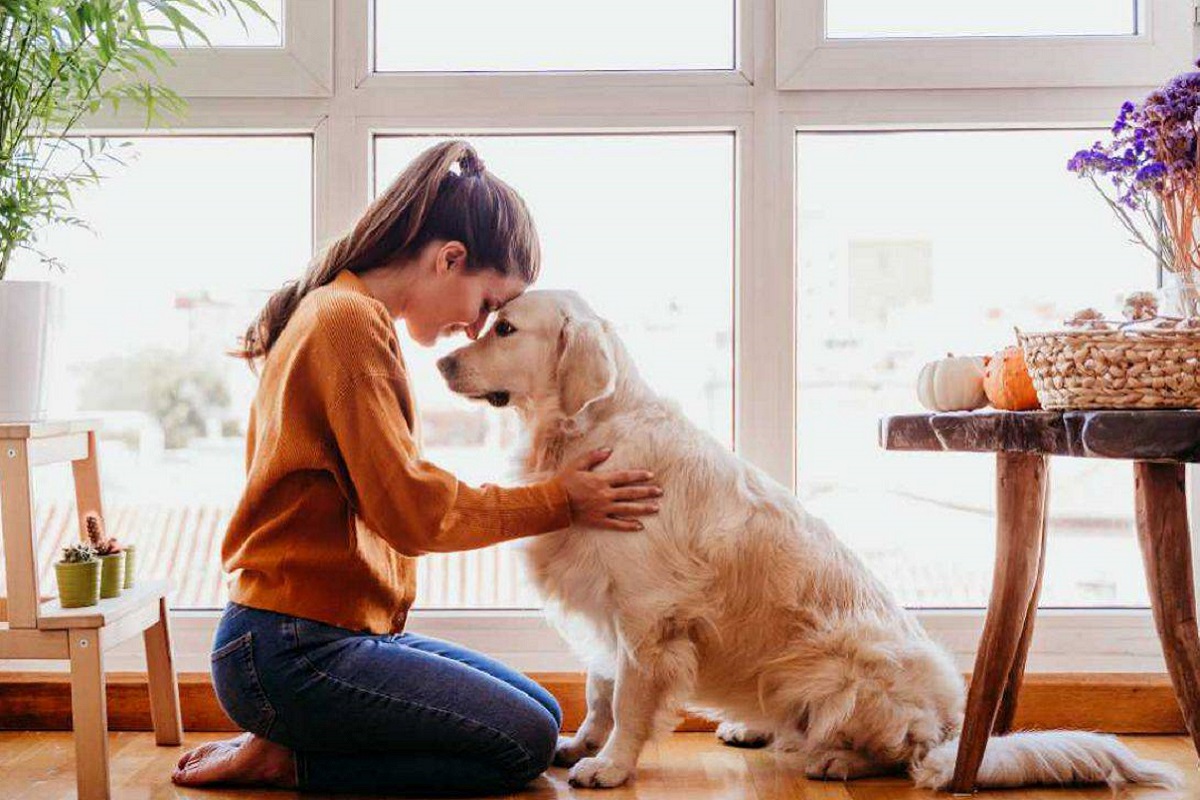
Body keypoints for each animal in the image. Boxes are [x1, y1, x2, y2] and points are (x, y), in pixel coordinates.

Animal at [436, 291, 1176, 791]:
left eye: (504, 329)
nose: (440, 360)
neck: (586, 431)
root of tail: (952, 724)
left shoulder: (647, 616)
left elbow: (628, 698)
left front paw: (611, 764)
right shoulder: (605, 603)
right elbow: (597, 686)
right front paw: (580, 743)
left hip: (840, 668)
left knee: (900, 754)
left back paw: (835, 758)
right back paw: (753, 726)